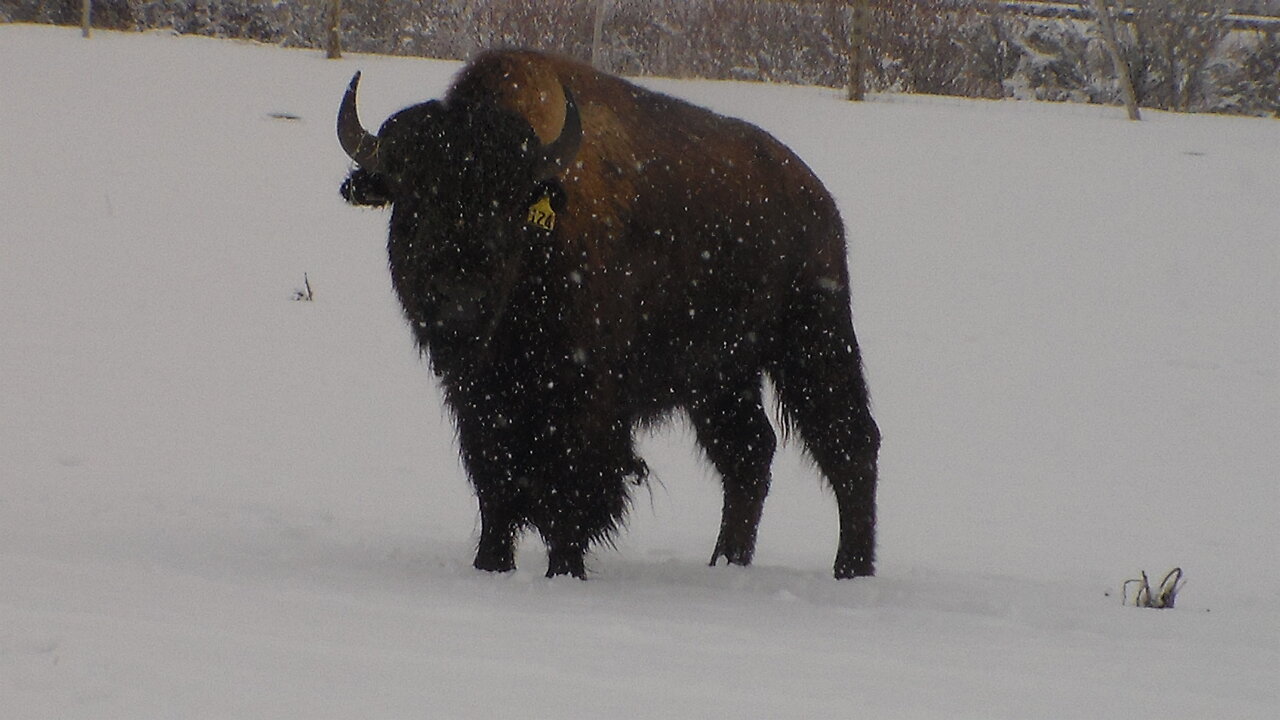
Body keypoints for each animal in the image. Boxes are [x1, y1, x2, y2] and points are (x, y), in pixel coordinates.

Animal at [340, 50, 880, 576]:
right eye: (410, 201)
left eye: (510, 205)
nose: (459, 305)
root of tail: (816, 197)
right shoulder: (478, 397)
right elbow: (495, 484)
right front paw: (490, 564)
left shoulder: (587, 395)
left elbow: (571, 491)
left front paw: (565, 569)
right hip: (719, 377)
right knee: (749, 452)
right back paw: (727, 563)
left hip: (813, 339)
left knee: (849, 443)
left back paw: (850, 568)